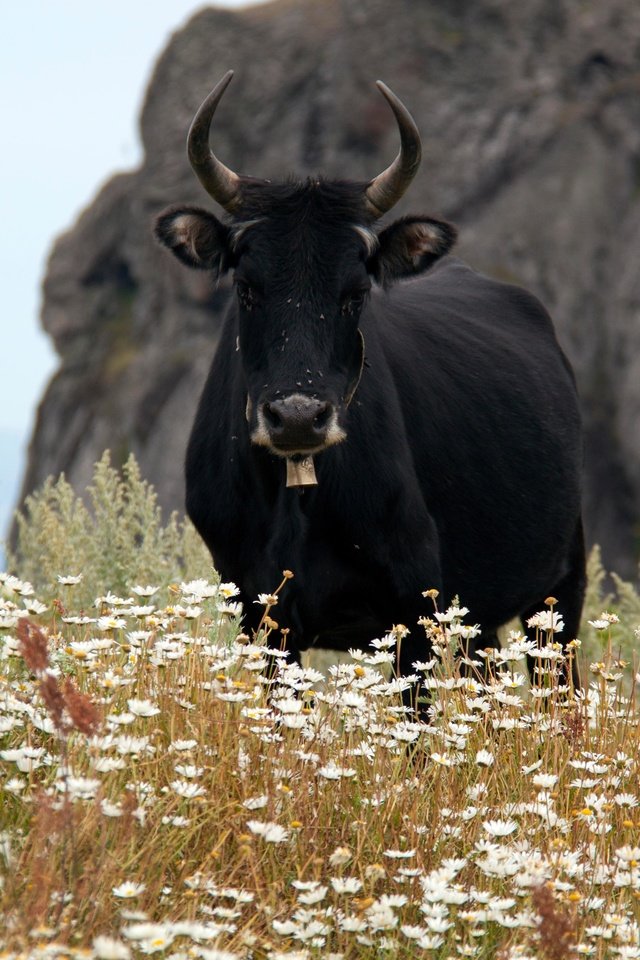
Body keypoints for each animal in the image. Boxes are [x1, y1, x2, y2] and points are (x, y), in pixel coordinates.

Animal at [156, 71, 584, 680]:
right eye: (246, 288)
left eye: (355, 294)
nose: (297, 418)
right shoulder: (261, 615)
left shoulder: (415, 607)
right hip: (479, 618)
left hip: (560, 587)